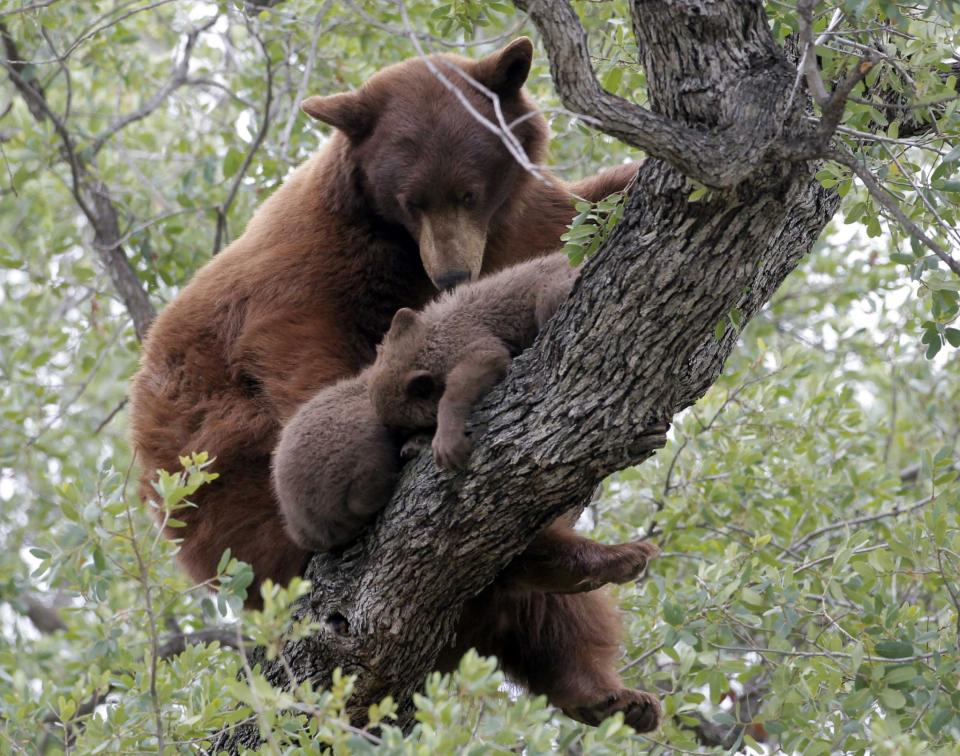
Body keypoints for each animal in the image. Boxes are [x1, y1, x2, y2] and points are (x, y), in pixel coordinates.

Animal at [129, 38, 636, 608]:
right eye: (411, 201)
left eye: (469, 193)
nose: (453, 274)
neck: (399, 248)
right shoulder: (311, 268)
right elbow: (304, 353)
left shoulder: (524, 221)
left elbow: (578, 213)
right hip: (220, 483)